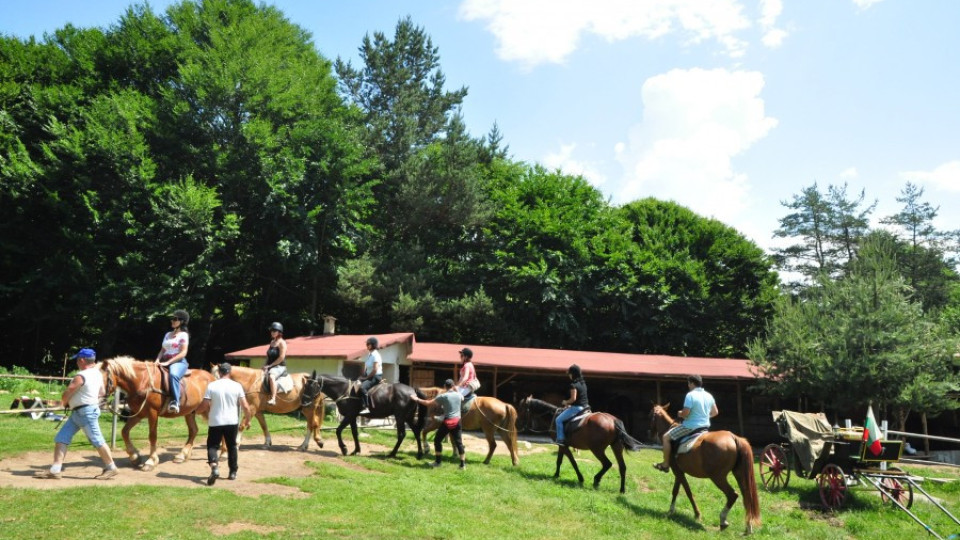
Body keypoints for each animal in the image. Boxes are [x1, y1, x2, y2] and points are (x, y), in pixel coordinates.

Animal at [296, 374, 424, 458]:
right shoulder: (353, 417)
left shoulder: (349, 415)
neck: (344, 390)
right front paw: (356, 451)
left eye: (311, 386)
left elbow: (338, 430)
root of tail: (412, 390)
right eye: (305, 386)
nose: (303, 402)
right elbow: (354, 433)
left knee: (402, 434)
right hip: (408, 417)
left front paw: (344, 449)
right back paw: (419, 454)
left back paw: (392, 454)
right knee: (416, 431)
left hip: (400, 417)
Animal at [516, 394, 644, 492]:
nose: (517, 423)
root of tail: (613, 420)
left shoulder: (564, 446)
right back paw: (622, 490)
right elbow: (559, 461)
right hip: (616, 447)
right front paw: (556, 475)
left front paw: (580, 478)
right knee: (622, 467)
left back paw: (596, 480)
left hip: (597, 449)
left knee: (607, 464)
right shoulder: (562, 446)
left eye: (521, 408)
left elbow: (572, 462)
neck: (554, 415)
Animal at [648, 402, 760, 532]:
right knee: (747, 496)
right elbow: (676, 490)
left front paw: (697, 514)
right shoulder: (679, 471)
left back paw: (723, 520)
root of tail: (733, 437)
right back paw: (748, 527)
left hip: (718, 477)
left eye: (650, 415)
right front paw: (671, 510)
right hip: (739, 474)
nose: (650, 433)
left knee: (733, 495)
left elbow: (687, 491)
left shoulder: (678, 471)